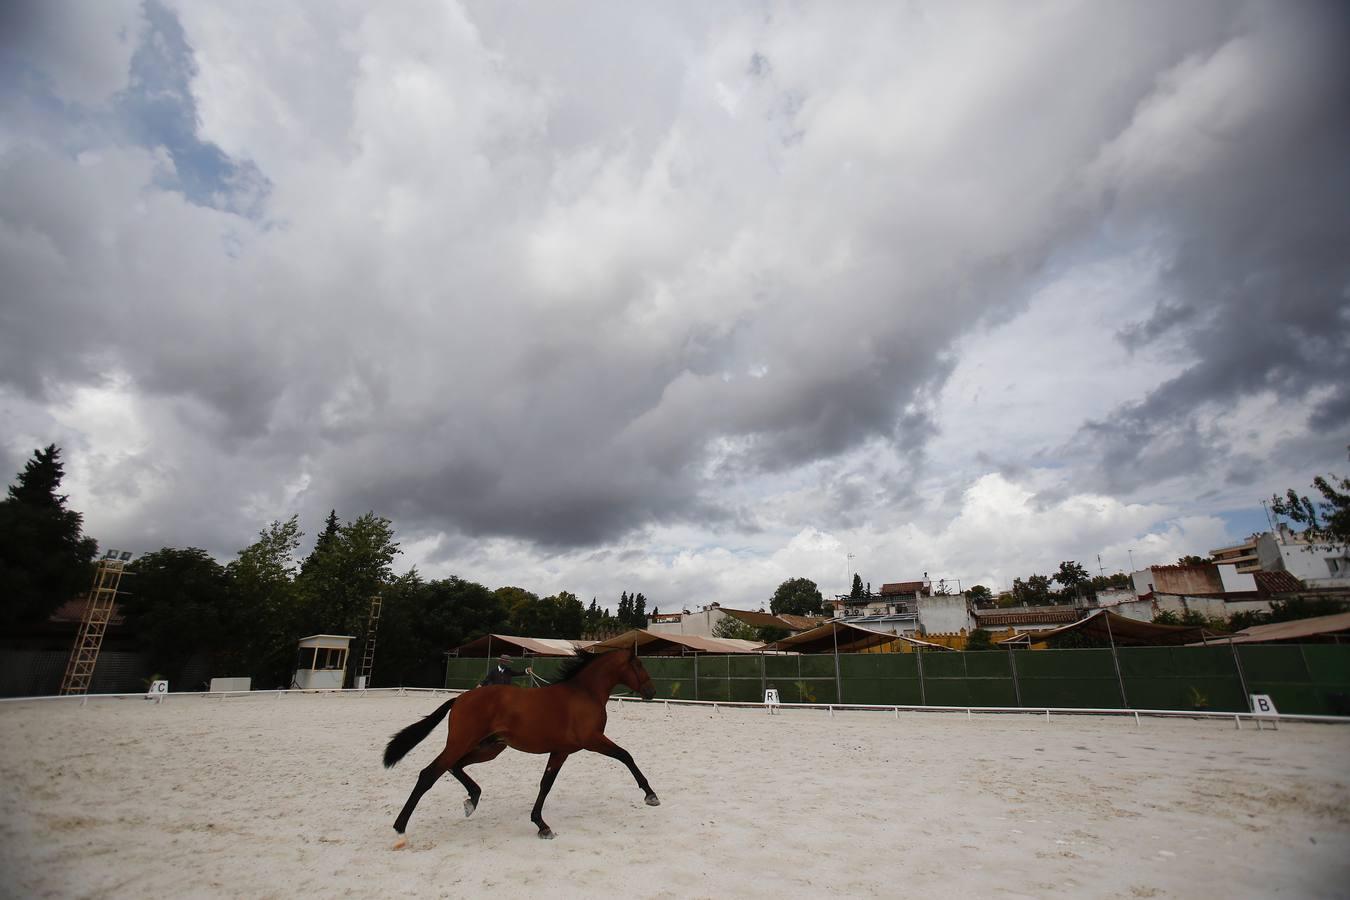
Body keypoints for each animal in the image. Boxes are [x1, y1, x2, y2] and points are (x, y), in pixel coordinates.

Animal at [383, 647, 661, 847]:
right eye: (638, 665)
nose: (651, 692)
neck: (584, 693)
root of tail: (460, 698)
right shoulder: (592, 740)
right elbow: (626, 756)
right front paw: (650, 794)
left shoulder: (560, 751)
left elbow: (546, 784)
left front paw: (541, 825)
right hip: (462, 742)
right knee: (429, 774)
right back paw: (400, 829)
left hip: (491, 748)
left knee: (455, 767)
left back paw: (472, 799)